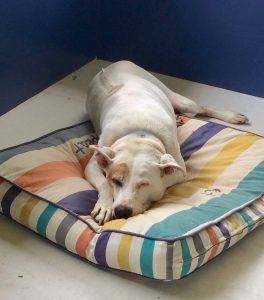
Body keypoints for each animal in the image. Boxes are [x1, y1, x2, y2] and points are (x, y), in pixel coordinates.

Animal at [84, 61, 248, 224]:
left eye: (144, 184)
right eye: (116, 181)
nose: (122, 210)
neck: (139, 134)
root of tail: (116, 63)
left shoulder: (179, 170)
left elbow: (164, 182)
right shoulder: (93, 164)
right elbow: (104, 183)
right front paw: (104, 206)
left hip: (178, 99)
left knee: (203, 108)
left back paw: (230, 116)